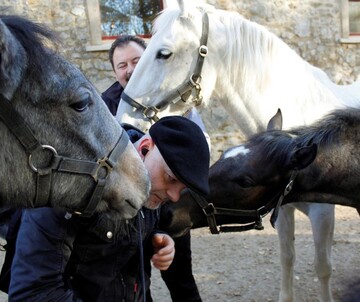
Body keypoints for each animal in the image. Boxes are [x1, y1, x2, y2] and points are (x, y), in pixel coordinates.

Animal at [116, 1, 360, 300]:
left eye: (164, 53)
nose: (124, 119)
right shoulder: (282, 208)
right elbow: (287, 258)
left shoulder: (323, 214)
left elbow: (323, 267)